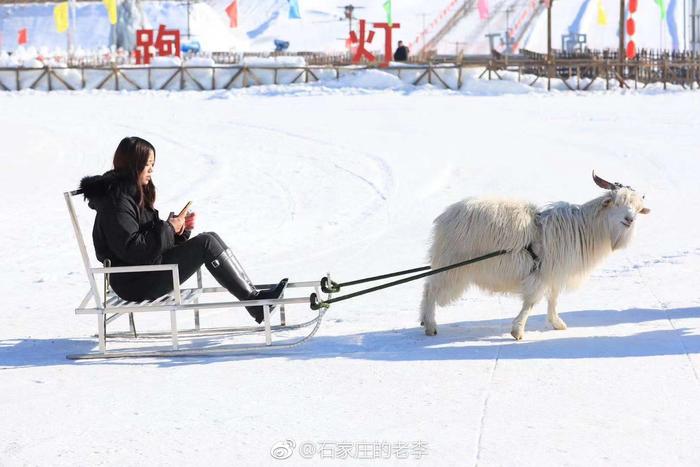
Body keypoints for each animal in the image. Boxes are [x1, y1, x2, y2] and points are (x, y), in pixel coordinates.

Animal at [416, 172, 652, 340]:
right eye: (616, 202)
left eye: (636, 207)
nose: (629, 219)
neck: (585, 226)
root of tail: (444, 217)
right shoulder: (541, 274)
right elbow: (531, 302)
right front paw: (518, 331)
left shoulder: (554, 274)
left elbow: (553, 299)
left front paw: (557, 324)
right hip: (453, 267)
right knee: (431, 289)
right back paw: (430, 326)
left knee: (428, 287)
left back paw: (424, 322)